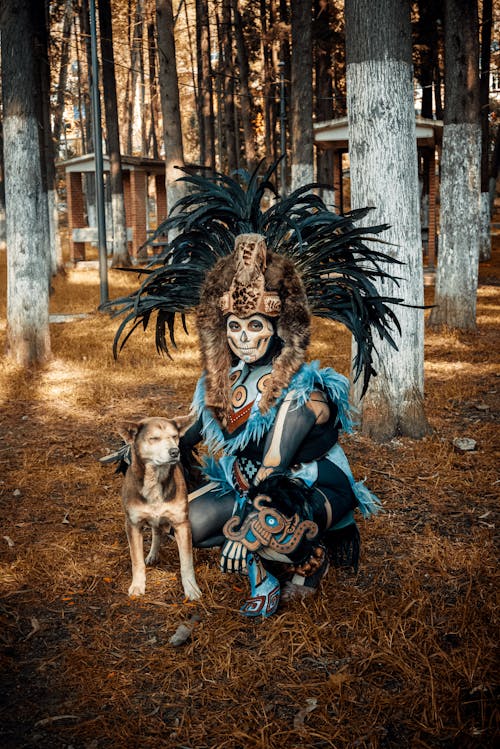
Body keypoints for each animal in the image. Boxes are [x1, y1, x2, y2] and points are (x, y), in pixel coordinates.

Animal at [117, 418, 201, 600]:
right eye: (154, 438)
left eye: (174, 436)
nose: (175, 452)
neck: (155, 479)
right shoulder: (133, 524)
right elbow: (137, 560)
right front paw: (138, 585)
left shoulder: (181, 524)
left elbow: (186, 562)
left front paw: (191, 588)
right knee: (156, 532)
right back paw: (152, 554)